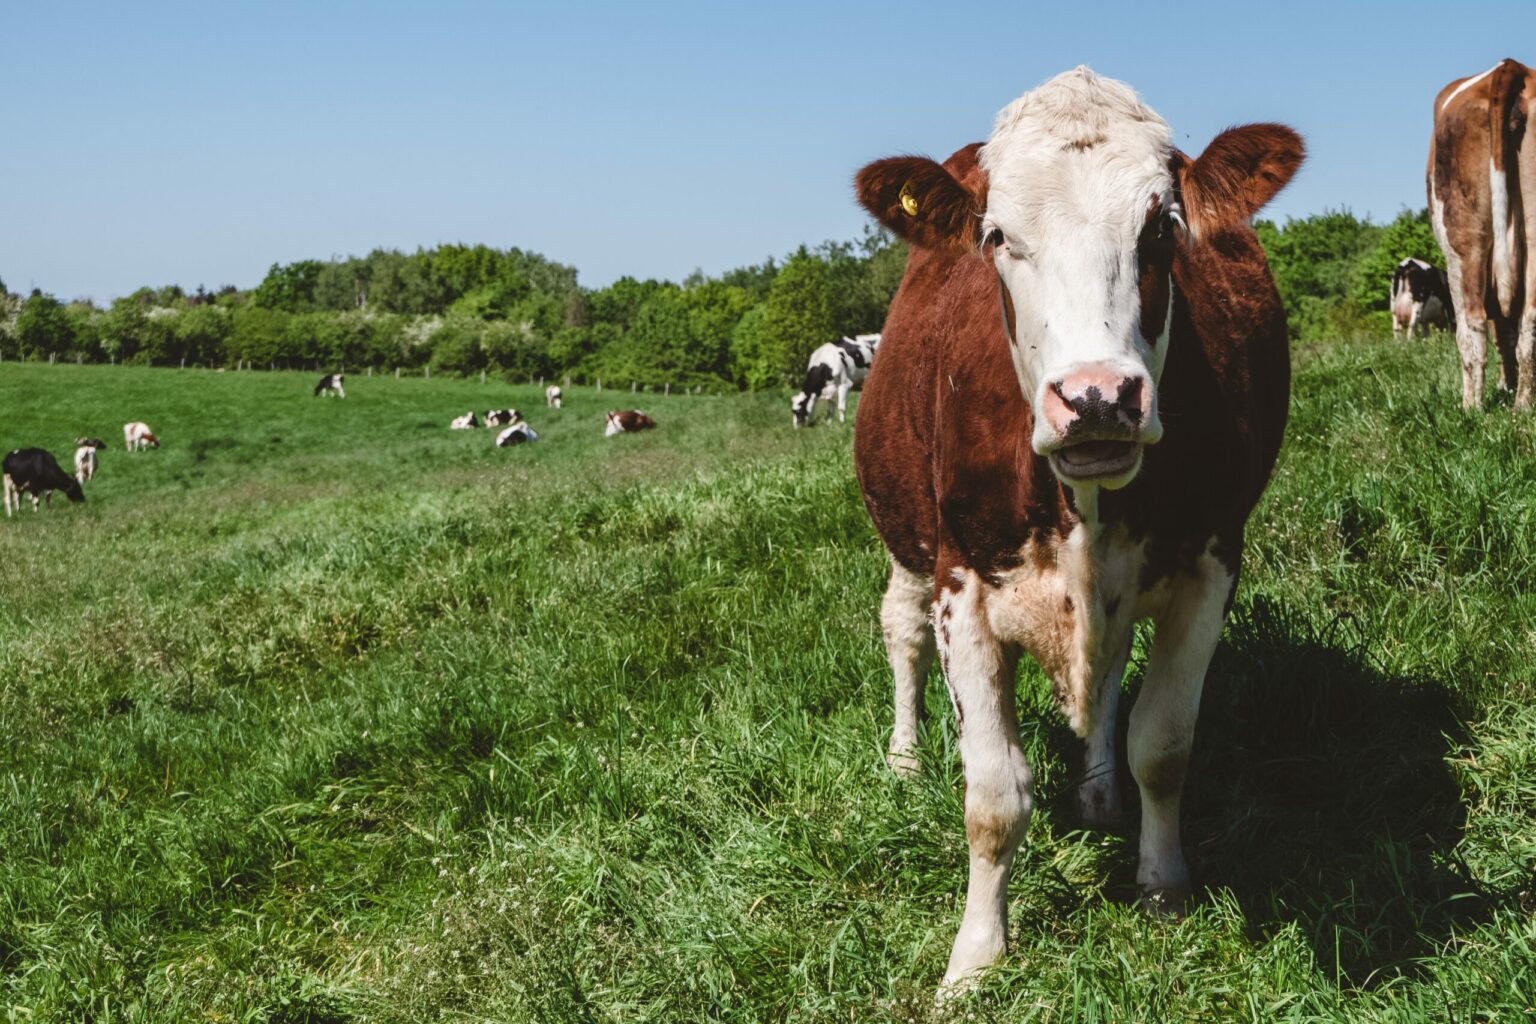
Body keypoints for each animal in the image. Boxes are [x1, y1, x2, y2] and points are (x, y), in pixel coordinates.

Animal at [851, 66, 1302, 990]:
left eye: (1162, 227)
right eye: (996, 236)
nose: (1096, 397)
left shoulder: (1212, 562)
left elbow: (1162, 744)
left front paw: (1162, 886)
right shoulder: (961, 584)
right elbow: (992, 796)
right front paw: (975, 957)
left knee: (1107, 674)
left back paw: (1097, 790)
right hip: (905, 533)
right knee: (899, 631)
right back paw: (905, 757)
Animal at [1429, 58, 1536, 409]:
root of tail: (1512, 66)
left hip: (1464, 238)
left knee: (1471, 326)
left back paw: (1470, 409)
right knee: (1529, 320)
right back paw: (1522, 406)